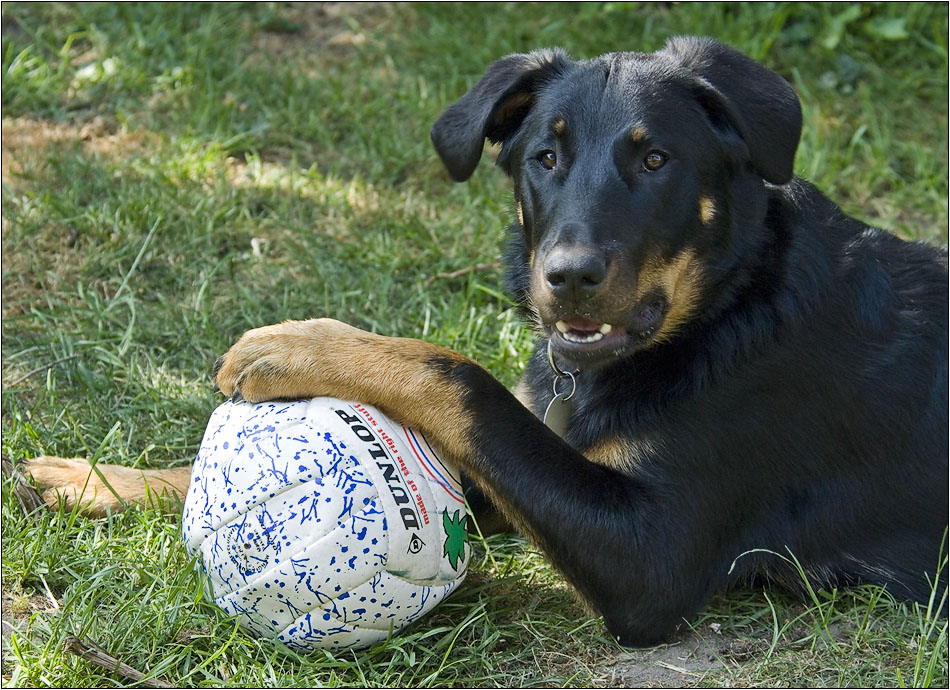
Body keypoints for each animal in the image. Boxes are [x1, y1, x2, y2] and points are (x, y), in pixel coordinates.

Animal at [26, 35, 948, 644]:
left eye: (656, 161)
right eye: (545, 157)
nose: (569, 275)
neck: (729, 305)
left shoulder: (652, 551)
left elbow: (462, 376)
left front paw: (304, 344)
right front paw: (98, 479)